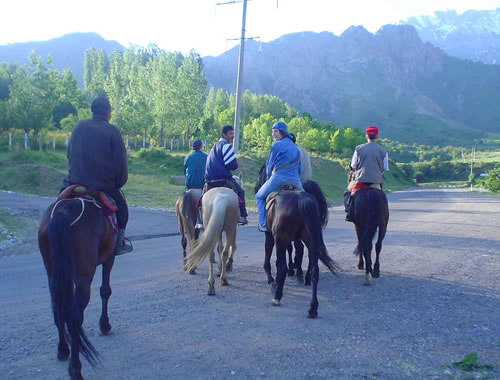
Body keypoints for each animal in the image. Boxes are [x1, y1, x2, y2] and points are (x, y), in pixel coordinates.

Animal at [38, 197, 116, 378]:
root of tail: (63, 213)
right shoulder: (110, 257)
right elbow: (105, 291)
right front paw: (104, 324)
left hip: (53, 273)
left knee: (58, 309)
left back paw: (63, 350)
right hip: (83, 277)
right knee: (75, 317)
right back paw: (75, 368)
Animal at [256, 166, 338, 318]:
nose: (257, 186)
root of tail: (302, 201)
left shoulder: (271, 236)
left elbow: (269, 260)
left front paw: (272, 281)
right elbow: (294, 251)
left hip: (281, 239)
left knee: (283, 266)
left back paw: (277, 296)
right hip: (311, 240)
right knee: (314, 269)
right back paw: (312, 307)